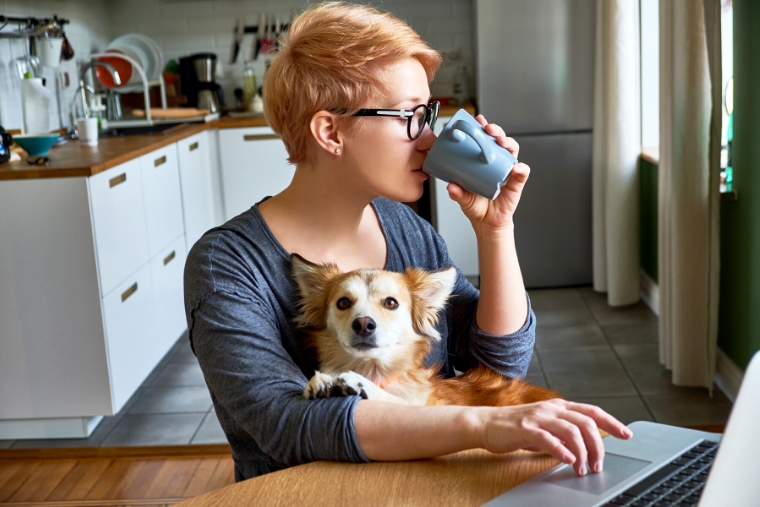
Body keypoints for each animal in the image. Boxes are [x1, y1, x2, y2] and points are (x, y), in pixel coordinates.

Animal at [290, 254, 560, 408]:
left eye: (390, 303)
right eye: (343, 303)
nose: (364, 323)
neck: (374, 370)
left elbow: (400, 404)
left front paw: (360, 384)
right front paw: (320, 381)